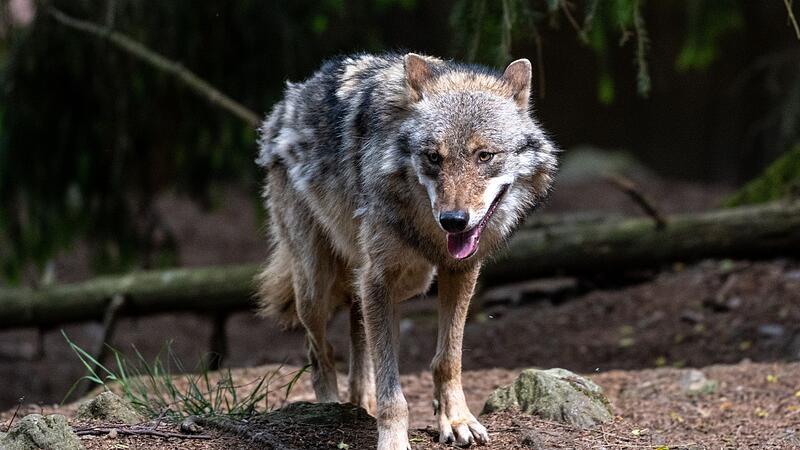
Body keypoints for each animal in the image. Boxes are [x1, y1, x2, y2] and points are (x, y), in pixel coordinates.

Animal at [256, 52, 557, 449]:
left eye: (484, 155)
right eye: (433, 157)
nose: (454, 221)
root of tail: (286, 103)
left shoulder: (460, 270)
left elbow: (448, 359)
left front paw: (456, 420)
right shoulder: (378, 278)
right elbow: (392, 390)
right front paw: (393, 439)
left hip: (406, 281)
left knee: (358, 330)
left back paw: (359, 403)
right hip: (315, 288)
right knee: (321, 353)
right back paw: (332, 407)